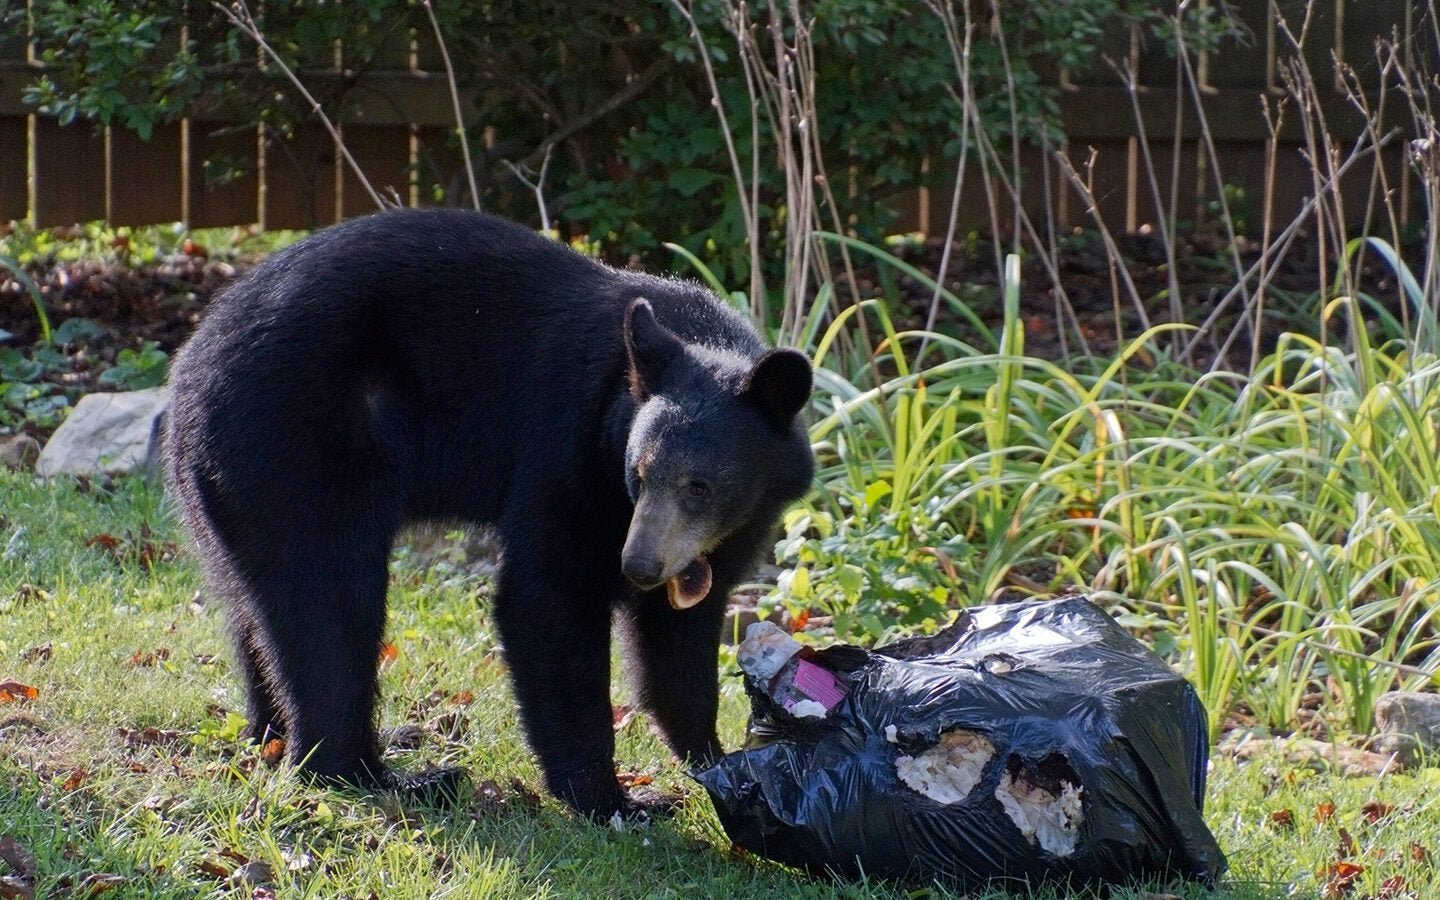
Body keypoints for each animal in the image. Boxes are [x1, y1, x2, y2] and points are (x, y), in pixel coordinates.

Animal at [163, 208, 815, 820]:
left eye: (698, 486)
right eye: (640, 472)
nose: (638, 567)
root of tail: (187, 368)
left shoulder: (732, 523)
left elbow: (679, 634)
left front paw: (717, 761)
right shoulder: (567, 449)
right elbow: (549, 595)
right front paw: (614, 800)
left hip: (231, 484)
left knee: (256, 606)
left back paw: (272, 734)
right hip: (291, 442)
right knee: (330, 604)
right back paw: (381, 773)